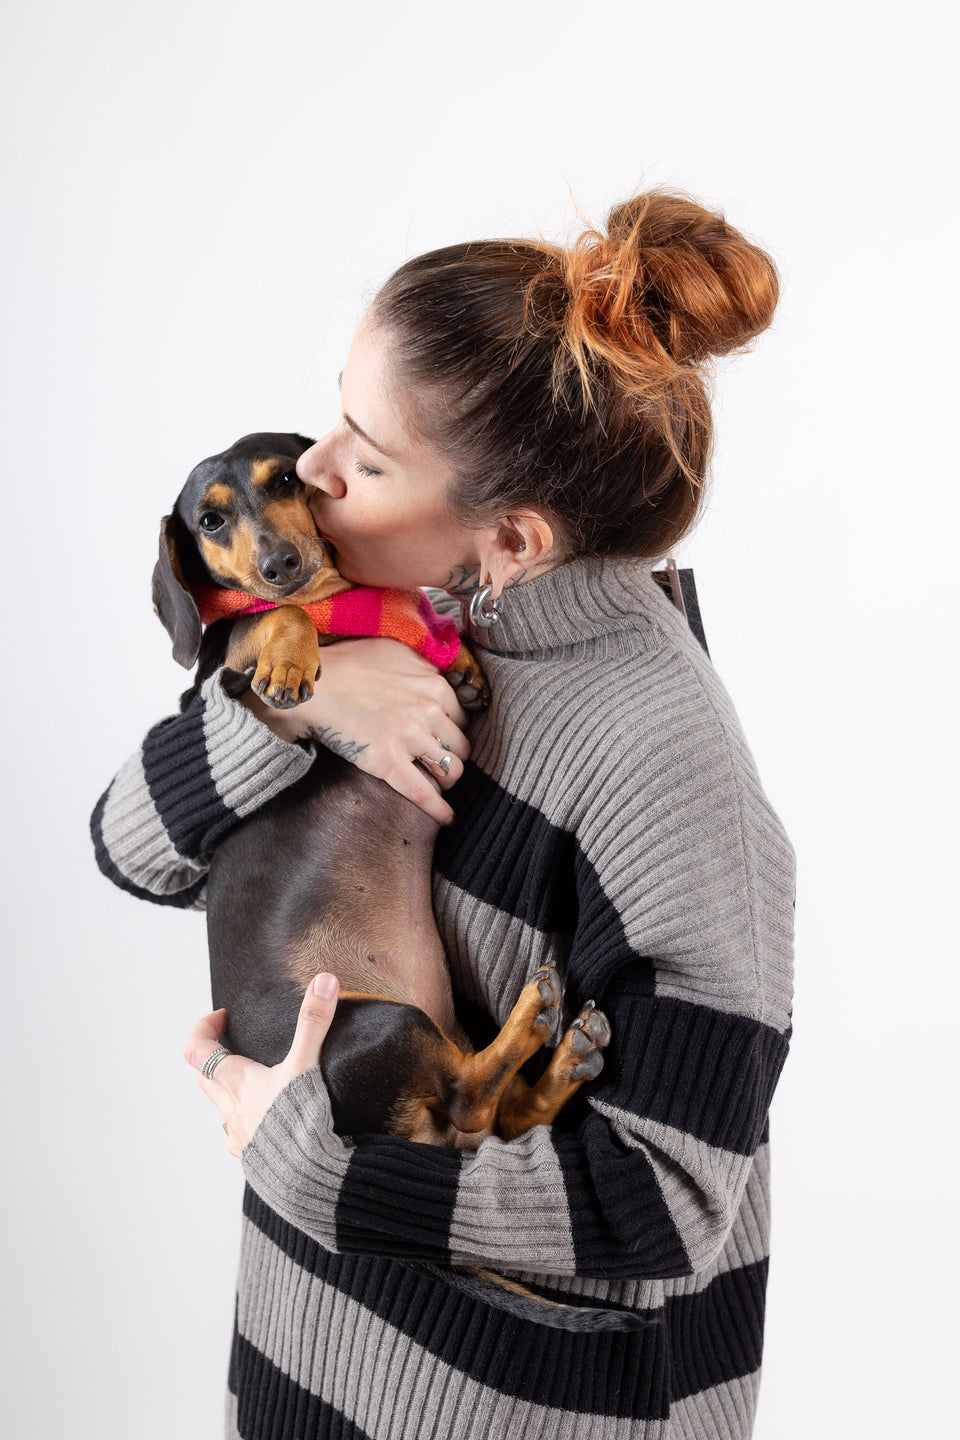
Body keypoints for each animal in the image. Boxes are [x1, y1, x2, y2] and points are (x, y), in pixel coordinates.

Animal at [154, 432, 613, 1152]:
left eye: (287, 479)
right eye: (210, 519)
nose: (280, 563)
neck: (346, 603)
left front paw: (460, 659)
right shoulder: (221, 669)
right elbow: (273, 618)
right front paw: (289, 658)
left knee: (498, 1115)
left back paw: (569, 1055)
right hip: (382, 1023)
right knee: (471, 1099)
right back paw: (535, 1017)